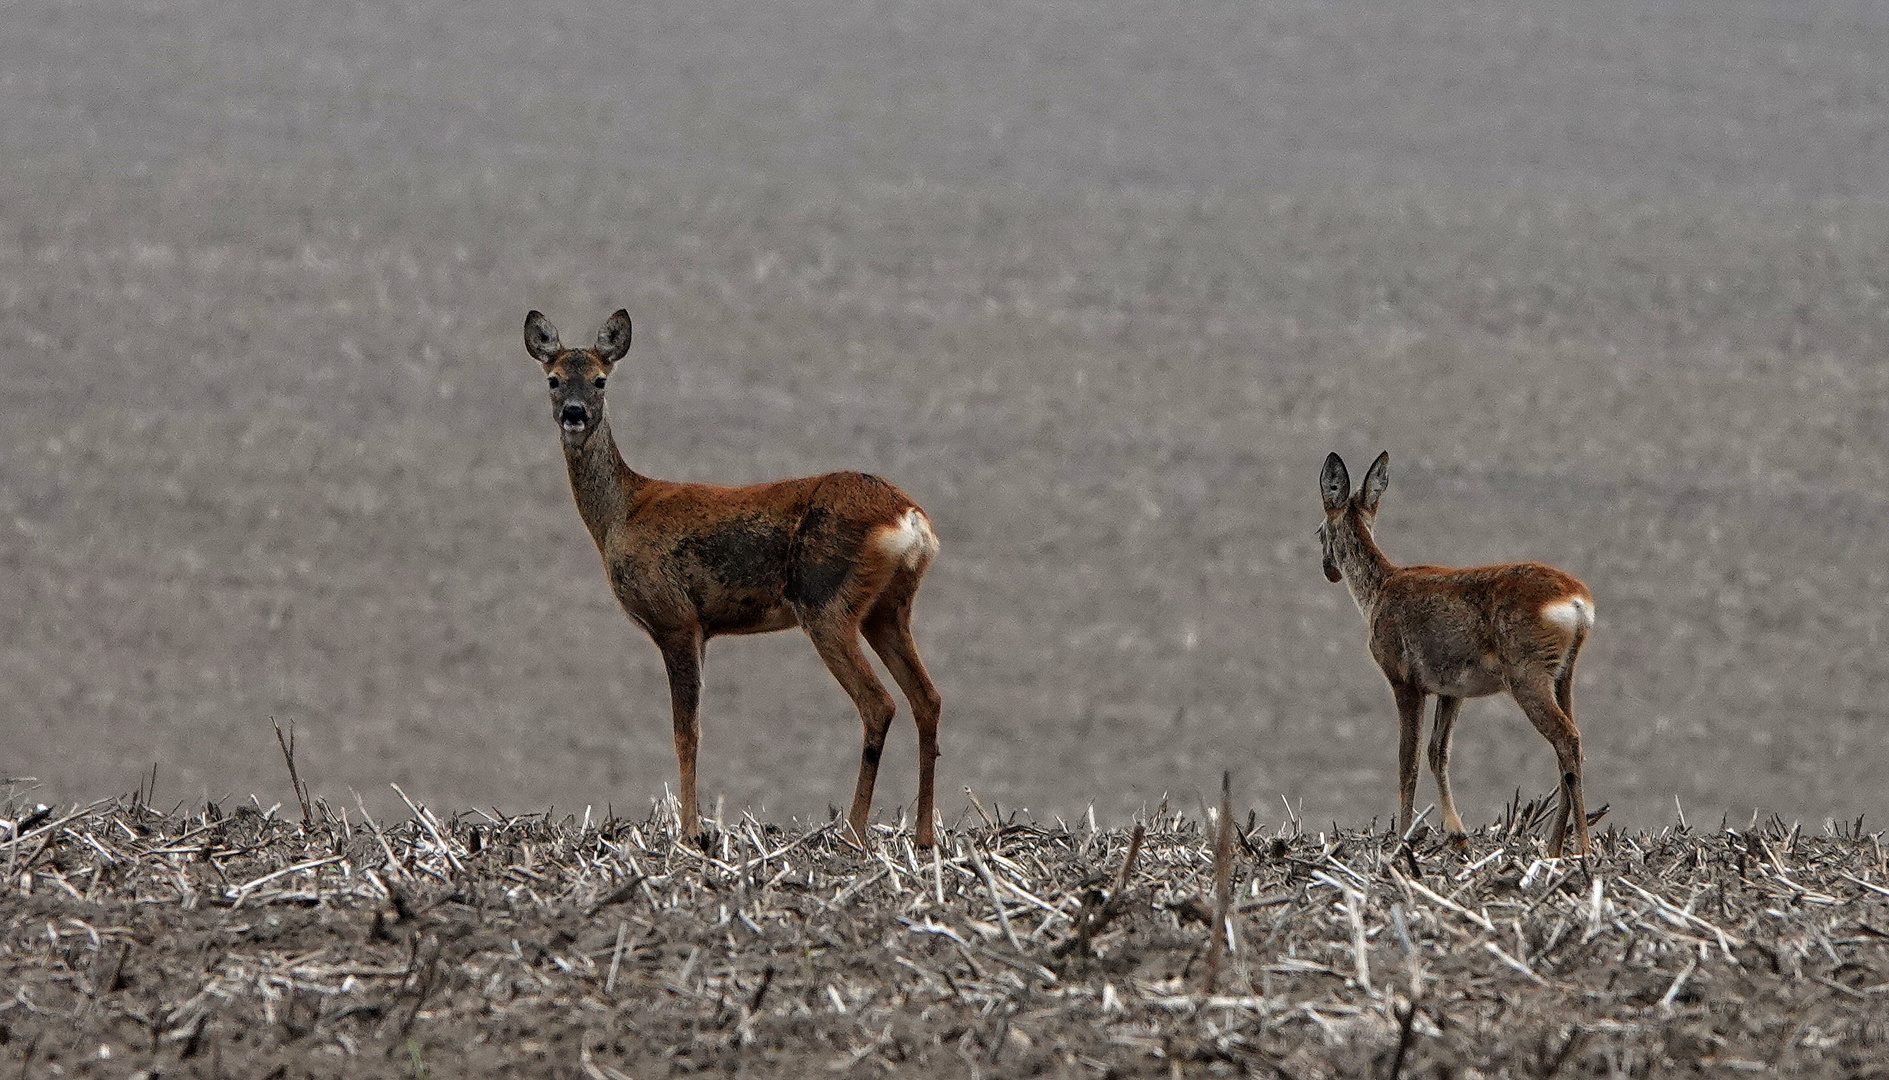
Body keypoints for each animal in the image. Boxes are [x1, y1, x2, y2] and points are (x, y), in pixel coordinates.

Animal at [521, 307, 940, 849]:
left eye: (600, 379)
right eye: (552, 379)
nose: (574, 412)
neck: (620, 514)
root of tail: (910, 518)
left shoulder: (675, 618)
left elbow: (686, 732)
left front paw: (689, 832)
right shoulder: (702, 628)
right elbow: (696, 728)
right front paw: (695, 827)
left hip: (827, 602)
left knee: (879, 703)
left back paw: (853, 832)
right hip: (888, 608)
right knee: (926, 698)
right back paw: (925, 835)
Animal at [1322, 451, 1601, 857]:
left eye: (1319, 530)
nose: (1328, 569)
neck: (1379, 588)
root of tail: (1576, 600)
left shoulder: (1404, 682)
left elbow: (1408, 760)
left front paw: (1402, 840)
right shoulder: (1451, 692)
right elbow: (1437, 753)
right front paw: (1457, 834)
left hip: (1528, 678)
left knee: (1566, 738)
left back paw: (1580, 844)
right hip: (1563, 676)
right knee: (1570, 746)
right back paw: (1553, 846)